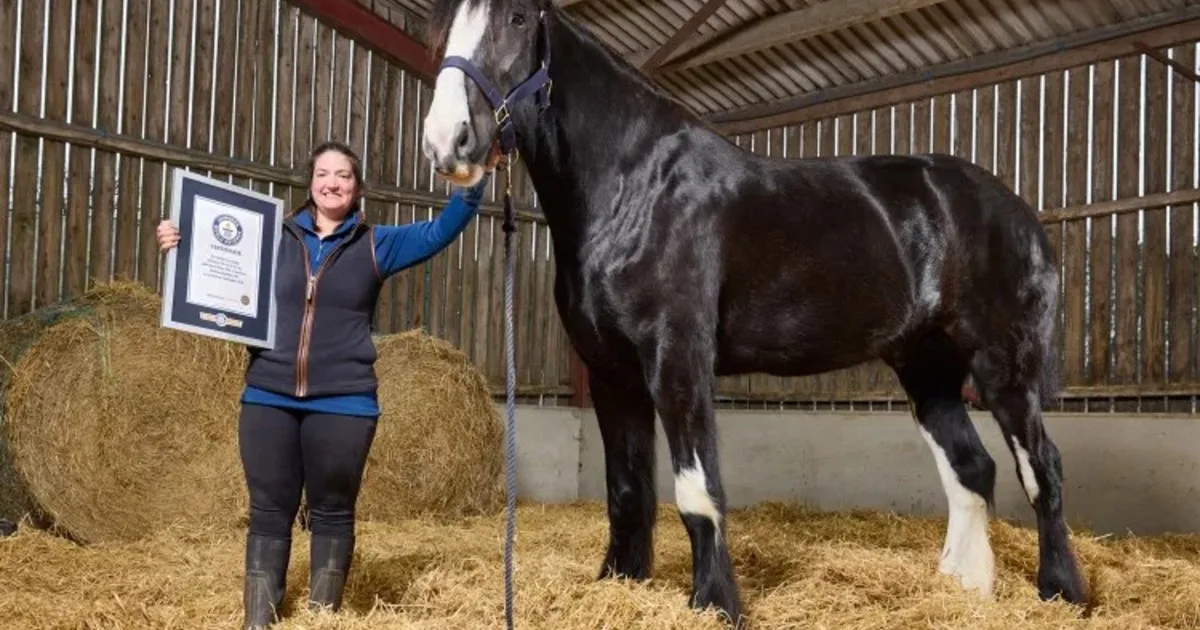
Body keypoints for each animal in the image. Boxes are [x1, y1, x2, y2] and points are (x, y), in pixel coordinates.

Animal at [419, 0, 1090, 625]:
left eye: (517, 17)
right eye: (444, 20)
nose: (449, 140)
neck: (635, 185)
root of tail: (1017, 211)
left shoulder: (678, 359)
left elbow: (697, 491)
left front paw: (716, 604)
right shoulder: (611, 375)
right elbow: (628, 492)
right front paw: (621, 584)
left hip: (1005, 368)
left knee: (1045, 470)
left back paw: (1063, 593)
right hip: (927, 368)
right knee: (972, 467)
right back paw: (964, 586)